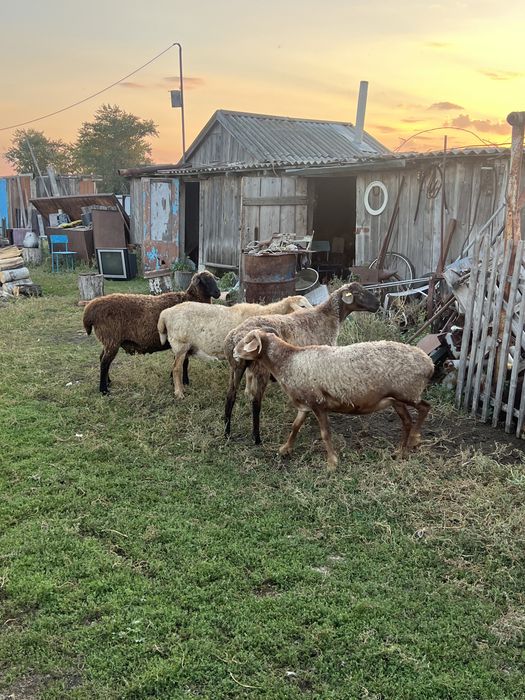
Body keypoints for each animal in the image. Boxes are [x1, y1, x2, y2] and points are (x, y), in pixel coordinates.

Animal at [83, 270, 220, 394]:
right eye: (205, 280)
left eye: (214, 279)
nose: (218, 293)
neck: (191, 299)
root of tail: (90, 309)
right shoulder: (183, 341)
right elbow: (184, 363)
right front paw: (185, 381)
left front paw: (172, 379)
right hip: (111, 339)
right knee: (104, 363)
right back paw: (103, 390)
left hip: (108, 341)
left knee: (102, 359)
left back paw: (108, 381)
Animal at [157, 295, 312, 399]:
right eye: (302, 306)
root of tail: (166, 313)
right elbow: (249, 373)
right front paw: (249, 393)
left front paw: (248, 391)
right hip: (180, 343)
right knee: (176, 369)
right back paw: (179, 393)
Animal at [223, 282, 380, 444]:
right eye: (358, 293)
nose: (378, 304)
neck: (328, 316)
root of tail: (236, 337)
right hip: (261, 369)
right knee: (255, 402)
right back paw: (257, 438)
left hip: (236, 366)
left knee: (230, 396)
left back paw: (227, 433)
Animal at [233, 330, 434, 470]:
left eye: (247, 341)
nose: (234, 352)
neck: (288, 361)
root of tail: (429, 363)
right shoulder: (305, 405)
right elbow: (295, 426)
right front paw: (285, 449)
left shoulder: (317, 403)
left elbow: (325, 433)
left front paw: (332, 462)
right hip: (397, 399)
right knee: (407, 421)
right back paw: (400, 451)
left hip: (408, 393)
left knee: (425, 407)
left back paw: (414, 440)